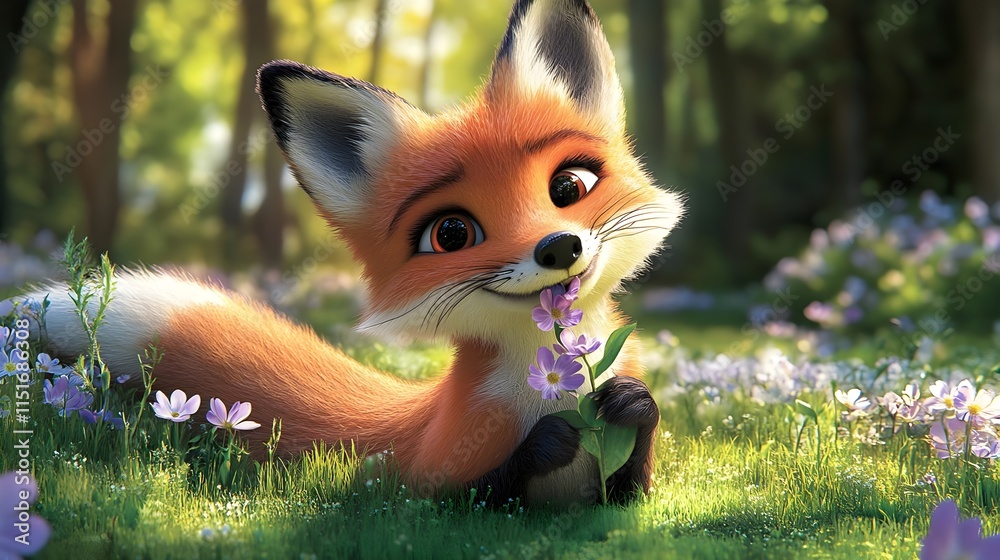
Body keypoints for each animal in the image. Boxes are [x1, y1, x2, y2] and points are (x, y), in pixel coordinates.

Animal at [19, 0, 683, 506]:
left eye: (570, 186)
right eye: (451, 234)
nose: (559, 246)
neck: (550, 380)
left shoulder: (621, 488)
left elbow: (633, 480)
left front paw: (630, 404)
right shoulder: (434, 480)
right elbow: (472, 491)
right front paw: (549, 440)